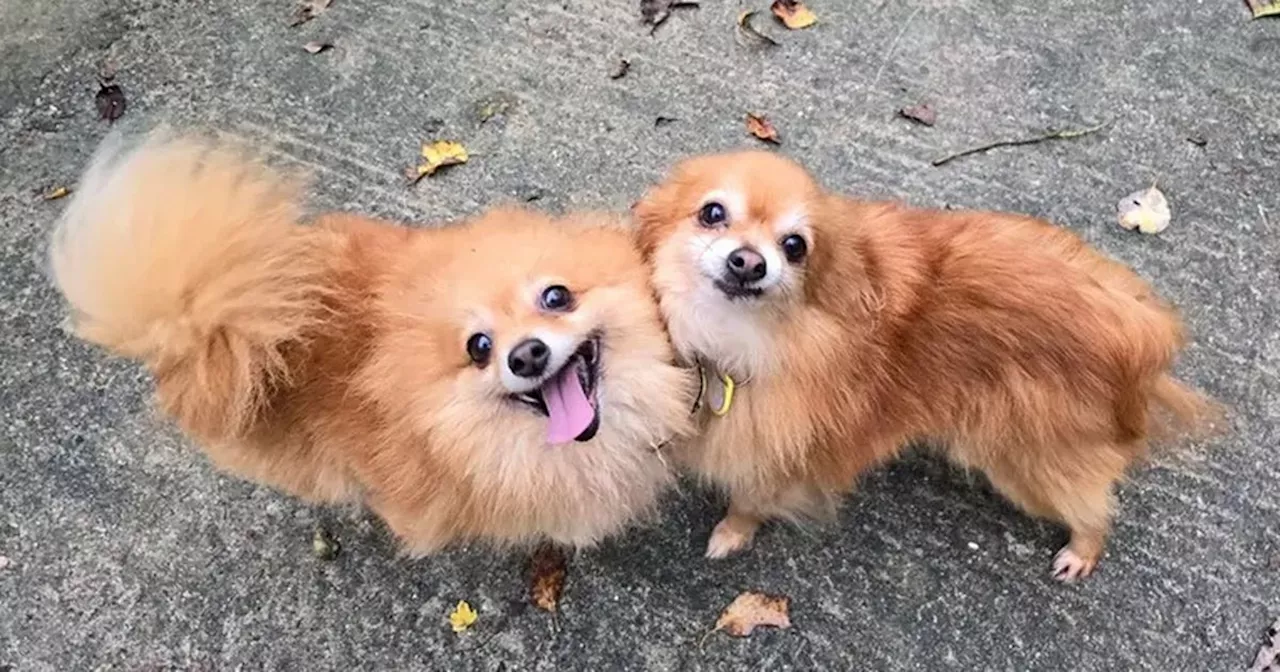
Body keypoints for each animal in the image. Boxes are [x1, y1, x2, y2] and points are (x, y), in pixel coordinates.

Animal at [634, 149, 1213, 578]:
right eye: (712, 213)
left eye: (795, 246)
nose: (749, 263)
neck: (748, 338)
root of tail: (1136, 326)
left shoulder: (785, 448)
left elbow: (751, 499)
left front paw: (732, 532)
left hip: (1028, 459)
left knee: (1094, 505)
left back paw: (1083, 549)